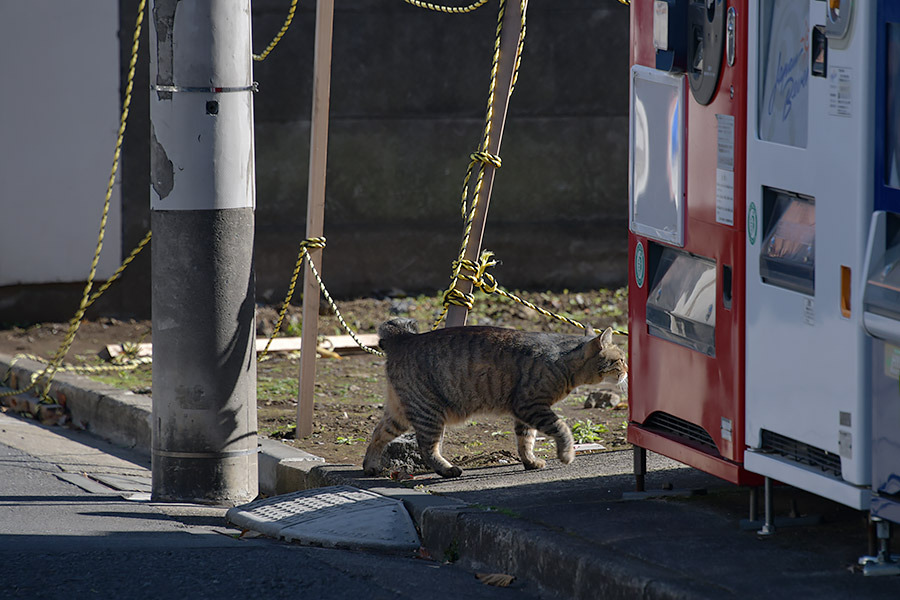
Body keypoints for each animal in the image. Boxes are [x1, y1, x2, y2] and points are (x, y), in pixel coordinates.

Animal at [362, 318, 628, 478]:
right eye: (620, 359)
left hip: (401, 414)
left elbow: (526, 441)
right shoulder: (532, 405)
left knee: (377, 434)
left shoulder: (525, 413)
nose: (627, 370)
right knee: (427, 448)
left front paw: (530, 461)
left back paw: (370, 466)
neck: (564, 361)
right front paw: (566, 454)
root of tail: (404, 338)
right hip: (429, 412)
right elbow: (561, 428)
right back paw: (448, 470)